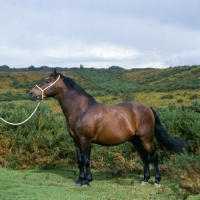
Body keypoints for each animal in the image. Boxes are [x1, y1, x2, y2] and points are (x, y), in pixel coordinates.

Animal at [29, 69, 188, 188]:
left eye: (47, 81)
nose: (31, 93)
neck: (82, 110)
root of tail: (147, 108)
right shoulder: (76, 141)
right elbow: (80, 160)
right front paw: (79, 180)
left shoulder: (86, 140)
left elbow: (86, 160)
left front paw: (87, 181)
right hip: (135, 139)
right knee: (144, 156)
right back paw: (145, 180)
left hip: (147, 138)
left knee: (153, 156)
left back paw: (156, 181)